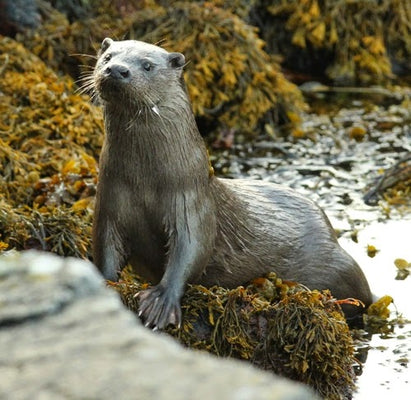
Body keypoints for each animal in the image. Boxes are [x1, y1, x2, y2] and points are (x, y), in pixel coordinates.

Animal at [91, 39, 374, 330]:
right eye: (108, 57)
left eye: (147, 65)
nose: (117, 70)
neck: (145, 182)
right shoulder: (110, 202)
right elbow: (105, 247)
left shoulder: (192, 202)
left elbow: (190, 251)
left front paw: (161, 301)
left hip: (340, 267)